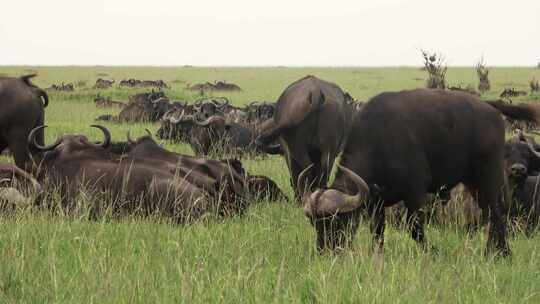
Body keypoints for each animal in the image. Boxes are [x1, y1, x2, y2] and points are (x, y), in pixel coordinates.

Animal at [304, 88, 540, 256]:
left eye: (335, 220)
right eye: (315, 224)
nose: (325, 251)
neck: (378, 141)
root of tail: (489, 107)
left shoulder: (415, 193)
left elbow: (415, 228)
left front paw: (433, 252)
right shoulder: (375, 203)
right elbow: (377, 231)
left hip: (488, 174)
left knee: (497, 211)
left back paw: (501, 253)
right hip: (472, 181)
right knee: (489, 212)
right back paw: (494, 251)